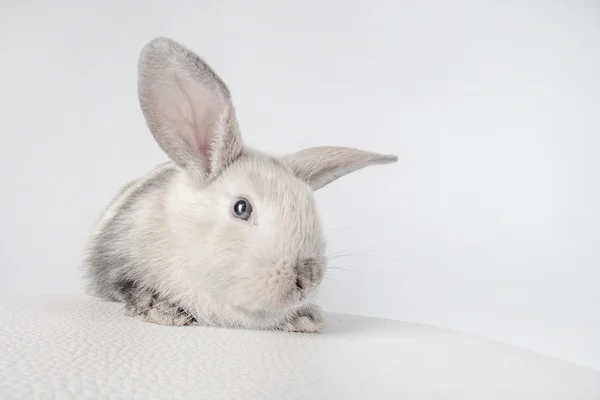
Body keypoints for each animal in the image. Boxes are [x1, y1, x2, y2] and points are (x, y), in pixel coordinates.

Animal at [81, 37, 398, 332]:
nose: (307, 279)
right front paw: (164, 310)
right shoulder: (116, 262)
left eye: (310, 207)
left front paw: (305, 318)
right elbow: (130, 288)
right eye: (241, 208)